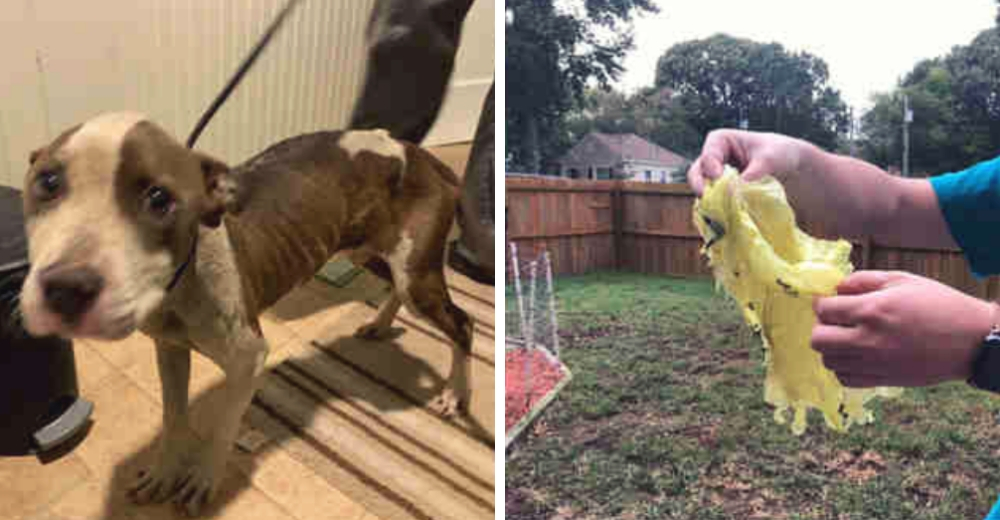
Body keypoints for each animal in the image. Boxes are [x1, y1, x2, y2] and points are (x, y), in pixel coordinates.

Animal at [19, 111, 472, 512]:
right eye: (47, 182)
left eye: (159, 198)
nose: (66, 288)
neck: (182, 281)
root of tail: (420, 154)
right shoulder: (169, 350)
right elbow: (173, 417)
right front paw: (165, 471)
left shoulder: (248, 360)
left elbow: (222, 425)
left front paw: (202, 478)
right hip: (374, 254)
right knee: (396, 289)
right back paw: (380, 324)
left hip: (415, 276)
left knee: (462, 323)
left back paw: (454, 393)